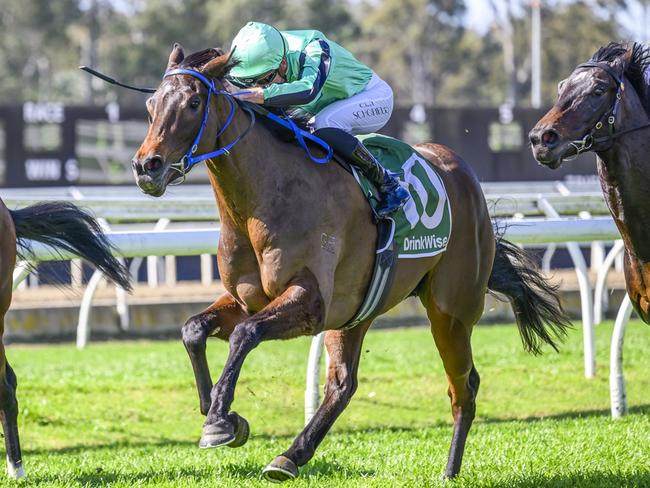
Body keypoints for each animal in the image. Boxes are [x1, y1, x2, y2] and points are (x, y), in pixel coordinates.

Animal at [132, 44, 568, 480]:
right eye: (151, 105)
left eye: (192, 103)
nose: (146, 165)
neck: (264, 199)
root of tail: (462, 172)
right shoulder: (247, 301)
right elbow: (193, 329)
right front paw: (216, 411)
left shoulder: (311, 302)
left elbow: (245, 335)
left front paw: (220, 421)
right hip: (356, 311)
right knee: (344, 384)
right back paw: (290, 456)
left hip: (451, 310)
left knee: (464, 385)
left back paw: (448, 470)